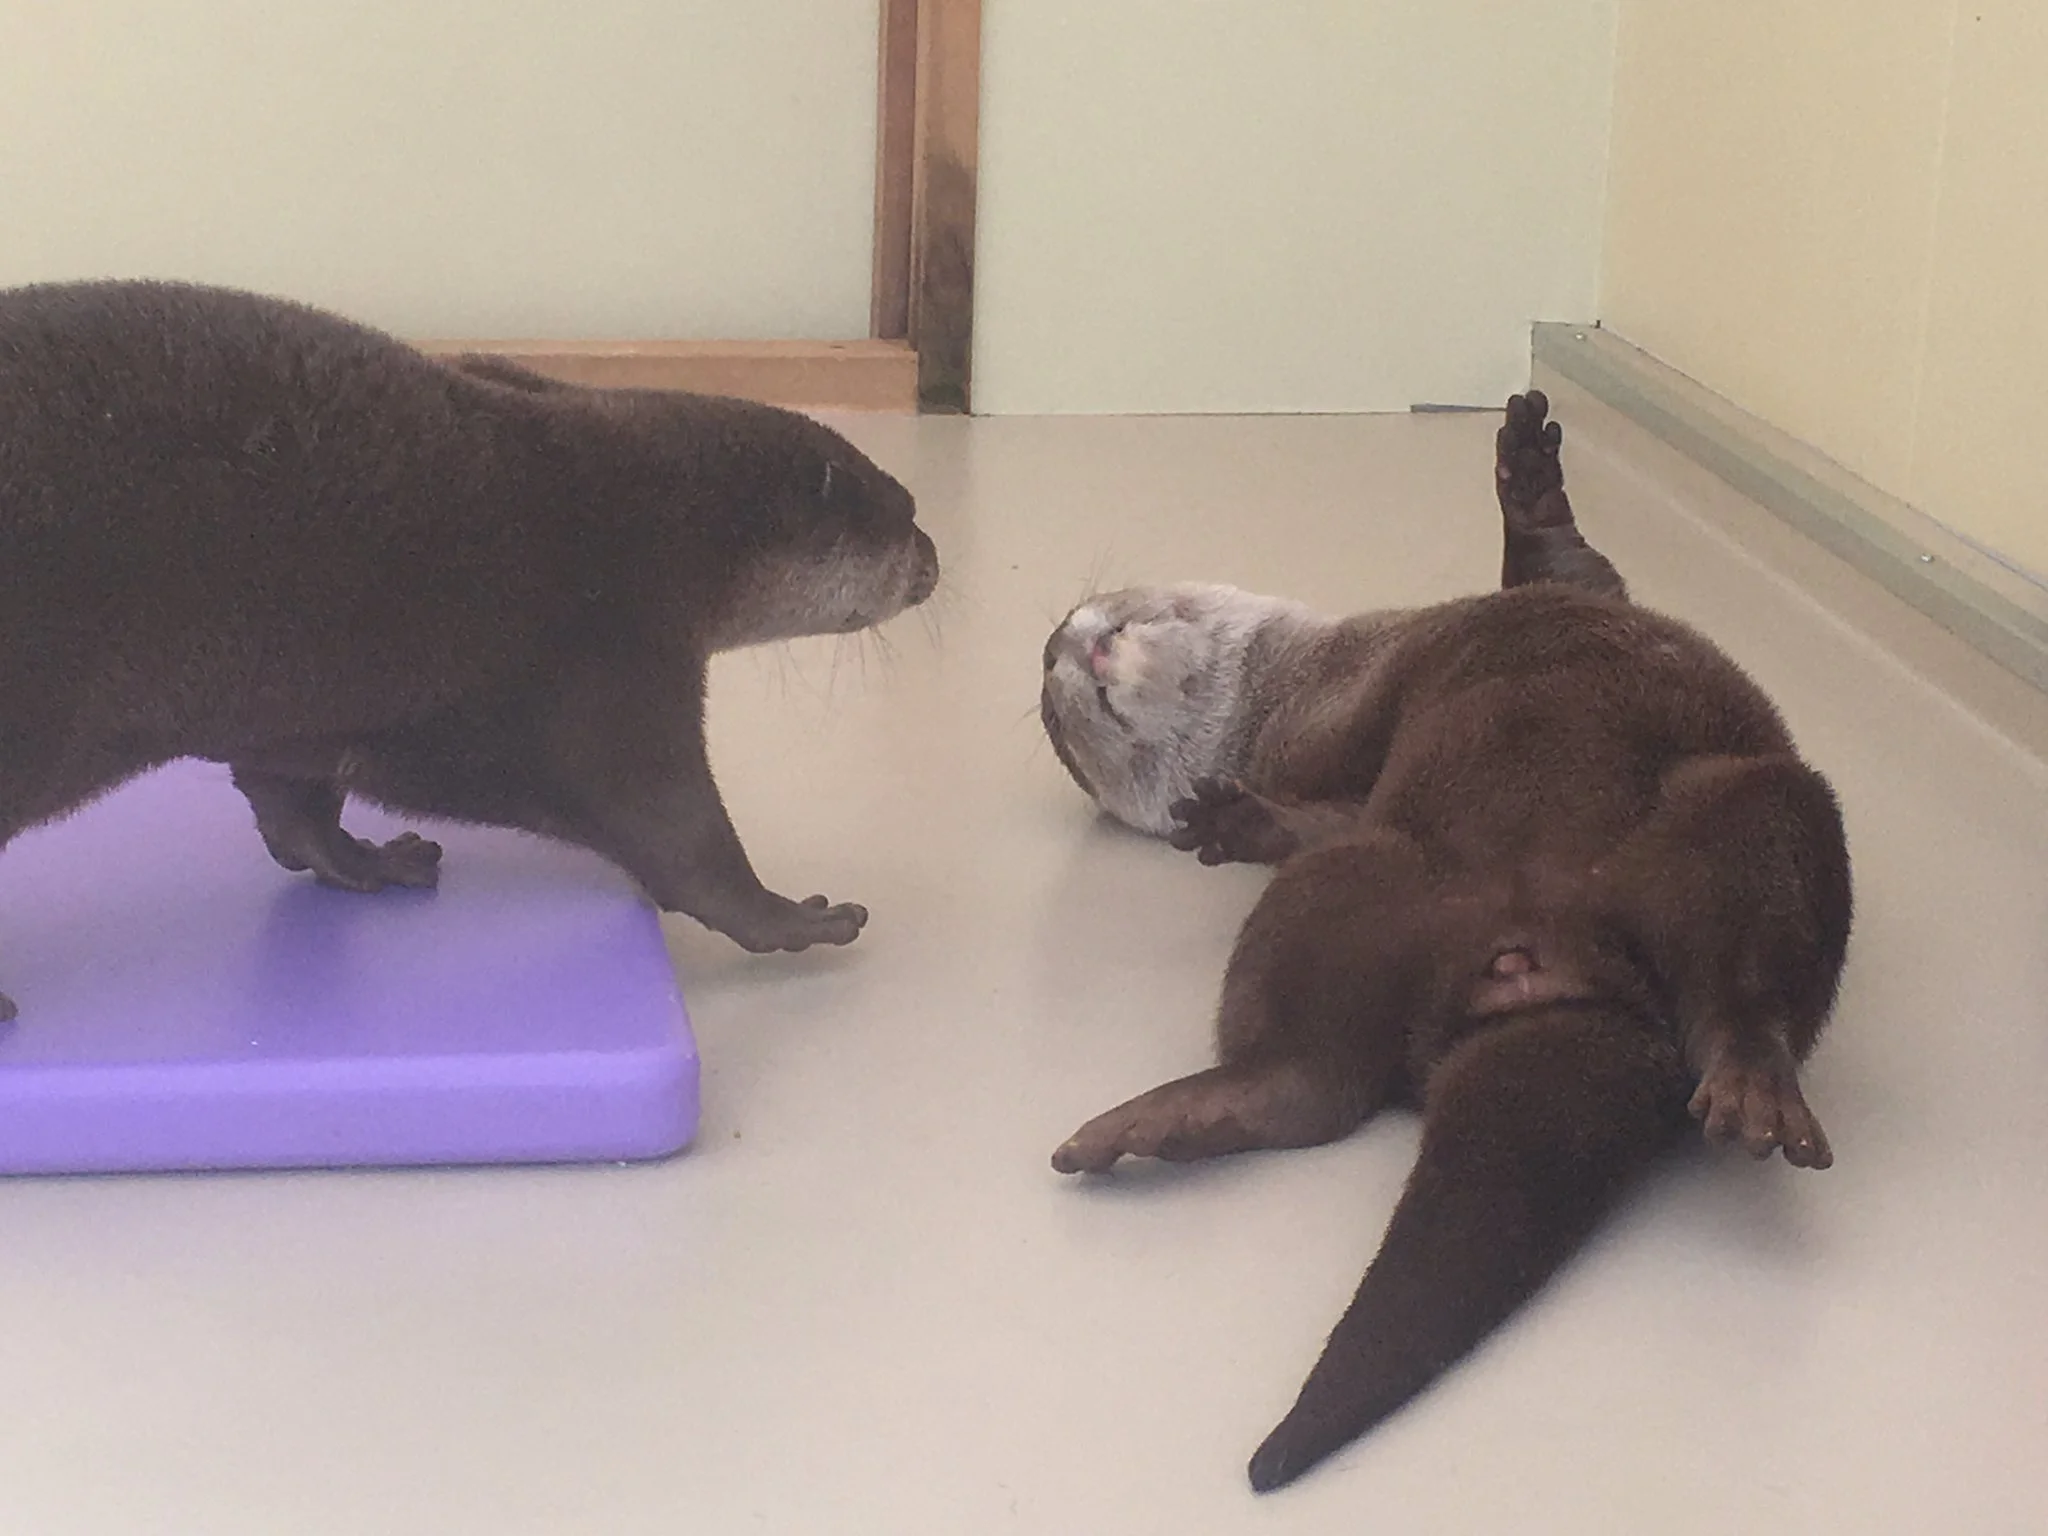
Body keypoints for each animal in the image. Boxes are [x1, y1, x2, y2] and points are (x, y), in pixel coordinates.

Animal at [0, 279, 940, 1020]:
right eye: (905, 516)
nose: (934, 563)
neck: (648, 519)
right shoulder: (615, 652)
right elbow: (675, 835)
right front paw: (797, 915)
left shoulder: (309, 702)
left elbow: (291, 801)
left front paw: (370, 859)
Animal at [1039, 391, 1850, 1491]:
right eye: (1079, 724)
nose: (1064, 651)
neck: (1293, 695)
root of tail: (1545, 969)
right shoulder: (1377, 701)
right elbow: (1562, 566)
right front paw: (1527, 472)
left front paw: (1235, 819)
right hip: (1392, 880)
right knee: (1318, 1069)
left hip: (1589, 838)